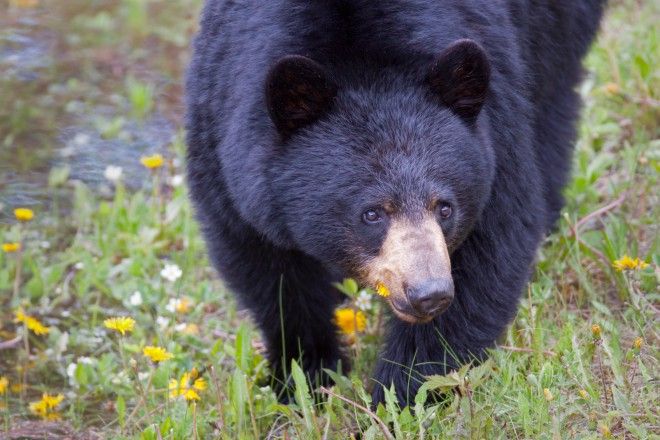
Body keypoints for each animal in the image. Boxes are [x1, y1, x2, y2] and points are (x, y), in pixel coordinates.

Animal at [185, 0, 605, 407]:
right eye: (372, 213)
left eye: (445, 207)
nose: (429, 293)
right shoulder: (222, 130)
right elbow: (265, 265)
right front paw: (303, 376)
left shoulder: (496, 132)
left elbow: (490, 249)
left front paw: (403, 393)